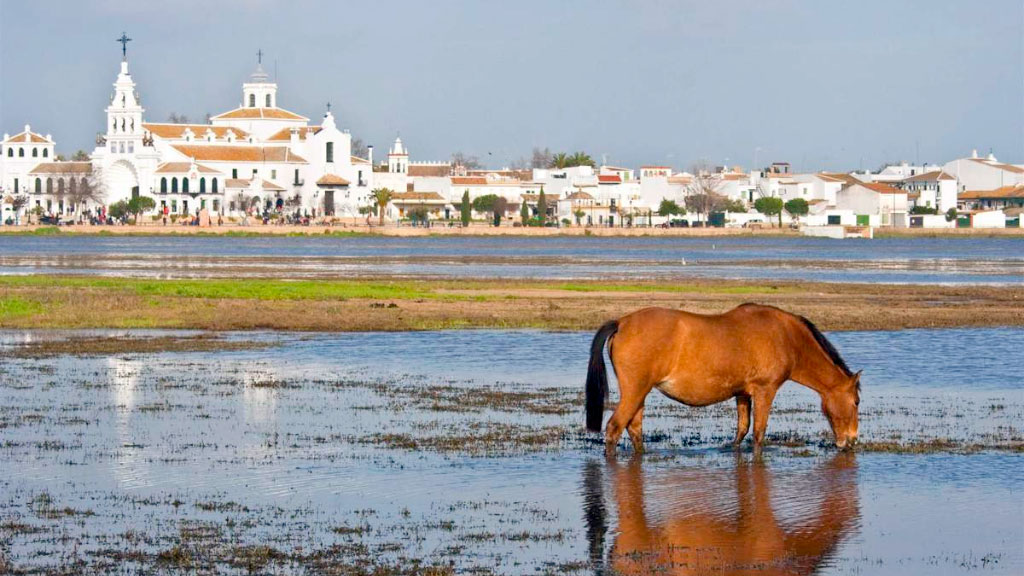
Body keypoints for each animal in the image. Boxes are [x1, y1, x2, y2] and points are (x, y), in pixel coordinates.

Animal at [589, 305, 860, 453]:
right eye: (856, 401)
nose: (851, 440)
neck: (787, 337)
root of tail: (622, 322)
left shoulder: (742, 393)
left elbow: (741, 430)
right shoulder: (765, 390)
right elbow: (758, 433)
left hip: (640, 394)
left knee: (634, 429)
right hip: (635, 391)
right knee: (614, 428)